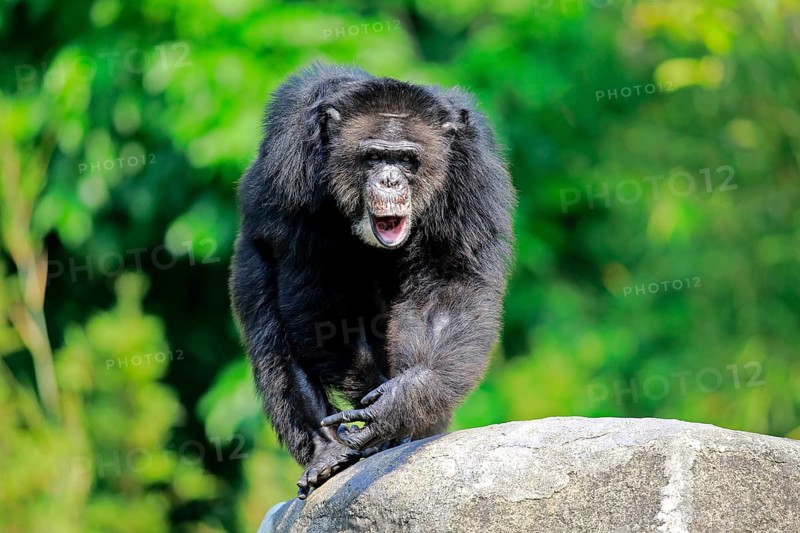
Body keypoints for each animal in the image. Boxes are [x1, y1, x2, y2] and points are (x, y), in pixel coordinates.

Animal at [230, 63, 514, 499]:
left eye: (407, 159)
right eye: (375, 156)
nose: (391, 181)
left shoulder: (471, 171)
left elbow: (449, 286)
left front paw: (399, 403)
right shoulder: (293, 166)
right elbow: (316, 288)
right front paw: (372, 402)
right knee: (271, 323)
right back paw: (326, 451)